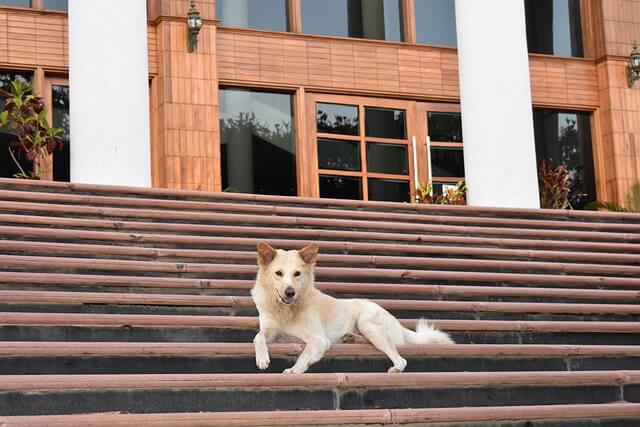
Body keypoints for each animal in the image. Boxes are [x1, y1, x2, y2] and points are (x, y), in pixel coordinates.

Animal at [251, 242, 456, 376]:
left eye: (297, 274)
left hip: (368, 323)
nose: (290, 292)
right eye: (278, 273)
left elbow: (304, 354)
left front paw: (295, 369)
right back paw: (350, 338)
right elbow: (257, 337)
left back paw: (395, 366)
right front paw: (262, 358)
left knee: (400, 359)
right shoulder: (269, 331)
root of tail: (396, 322)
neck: (285, 311)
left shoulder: (319, 339)